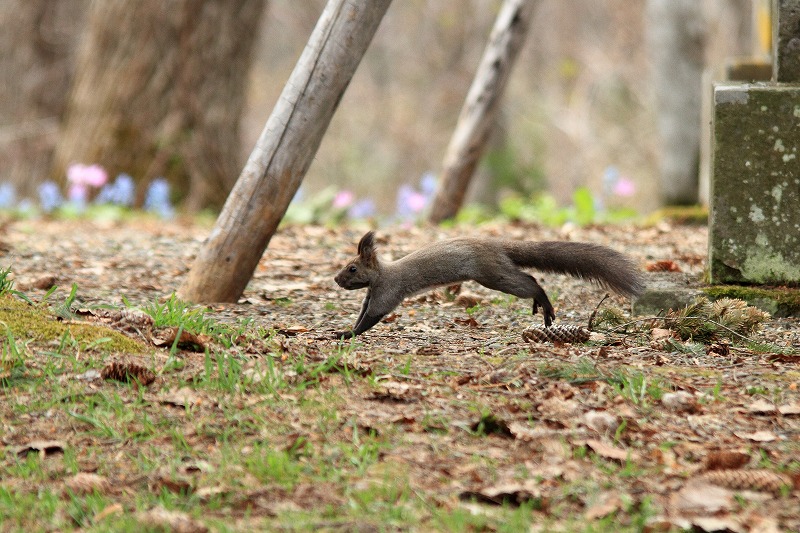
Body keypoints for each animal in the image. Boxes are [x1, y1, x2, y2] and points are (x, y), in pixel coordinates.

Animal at [332, 231, 644, 338]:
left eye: (352, 268)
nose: (336, 279)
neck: (381, 276)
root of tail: (495, 245)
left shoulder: (387, 293)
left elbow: (371, 318)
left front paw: (347, 335)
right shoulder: (370, 296)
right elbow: (362, 313)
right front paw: (344, 330)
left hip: (492, 274)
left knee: (530, 281)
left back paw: (544, 305)